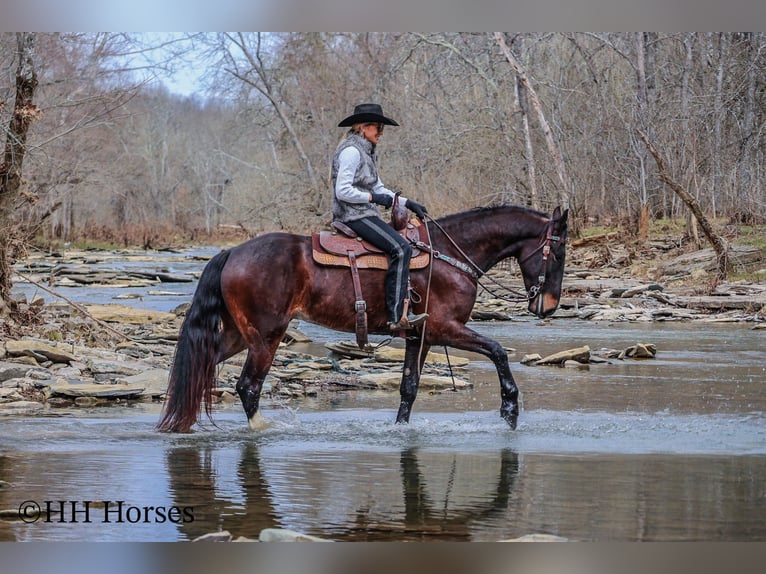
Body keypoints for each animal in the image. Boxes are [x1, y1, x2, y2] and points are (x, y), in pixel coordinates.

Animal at [156, 205, 568, 434]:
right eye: (560, 252)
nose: (548, 307)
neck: (449, 255)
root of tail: (232, 252)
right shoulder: (444, 328)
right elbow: (497, 350)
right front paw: (510, 409)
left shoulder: (419, 336)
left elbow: (409, 388)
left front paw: (400, 429)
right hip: (265, 337)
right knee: (248, 387)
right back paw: (261, 429)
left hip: (240, 335)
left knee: (202, 366)